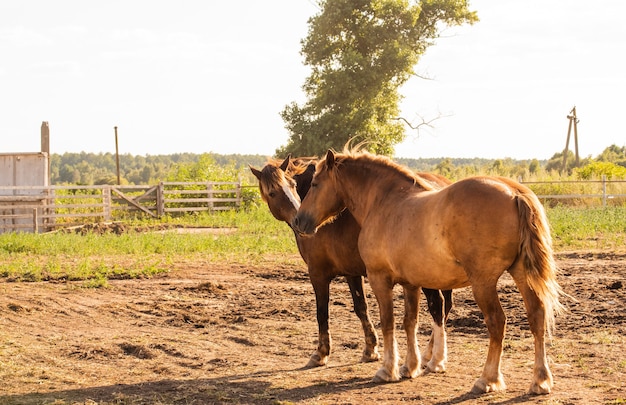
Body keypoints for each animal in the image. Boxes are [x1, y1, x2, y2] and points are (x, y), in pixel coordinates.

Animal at [251, 157, 450, 370]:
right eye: (273, 192)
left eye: (292, 185)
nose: (298, 218)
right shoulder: (351, 273)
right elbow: (361, 307)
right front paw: (370, 349)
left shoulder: (317, 274)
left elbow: (322, 312)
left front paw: (321, 353)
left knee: (437, 305)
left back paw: (431, 357)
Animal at [294, 149, 564, 394]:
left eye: (315, 184)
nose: (299, 221)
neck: (384, 202)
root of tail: (514, 192)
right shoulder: (410, 283)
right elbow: (409, 322)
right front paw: (410, 367)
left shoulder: (379, 279)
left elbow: (388, 322)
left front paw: (387, 369)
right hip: (521, 274)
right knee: (537, 316)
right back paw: (540, 381)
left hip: (483, 283)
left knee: (497, 322)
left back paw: (487, 380)